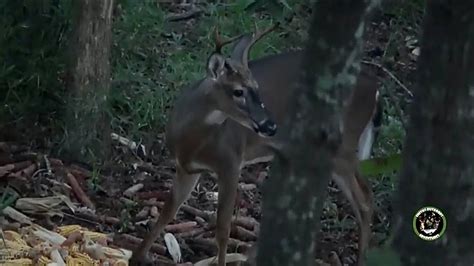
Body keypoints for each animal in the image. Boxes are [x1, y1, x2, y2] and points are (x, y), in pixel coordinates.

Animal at [130, 23, 382, 264]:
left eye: (257, 88)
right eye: (238, 91)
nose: (270, 126)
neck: (190, 142)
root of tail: (376, 89)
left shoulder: (231, 162)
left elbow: (223, 228)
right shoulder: (187, 168)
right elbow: (168, 211)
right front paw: (137, 256)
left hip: (342, 144)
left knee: (364, 200)